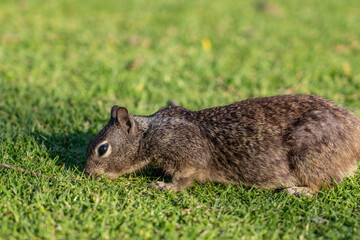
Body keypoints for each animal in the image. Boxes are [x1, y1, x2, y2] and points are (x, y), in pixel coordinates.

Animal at [85, 94, 360, 196]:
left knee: (326, 184)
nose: (87, 173)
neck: (149, 134)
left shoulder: (187, 156)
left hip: (308, 156)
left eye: (103, 149)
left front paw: (163, 186)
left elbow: (183, 180)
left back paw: (297, 191)